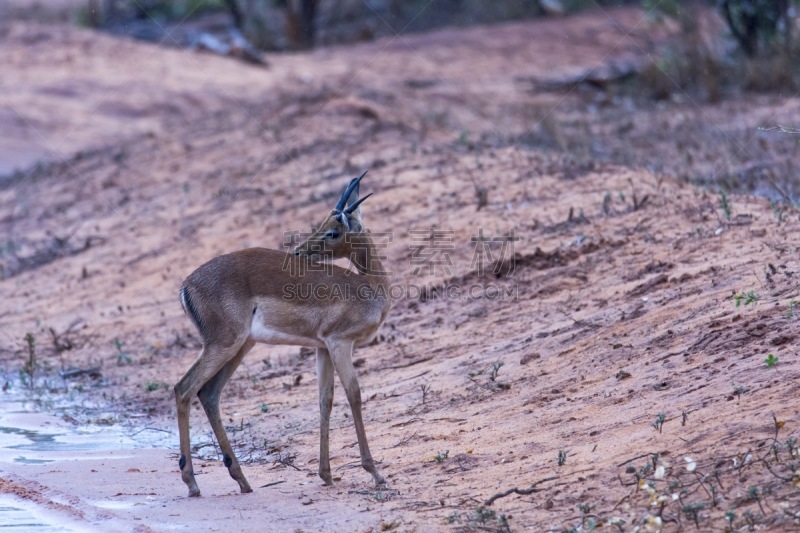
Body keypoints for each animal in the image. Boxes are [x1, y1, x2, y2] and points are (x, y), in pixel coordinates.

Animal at [176, 172, 390, 496]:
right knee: (184, 389)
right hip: (224, 344)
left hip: (241, 346)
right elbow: (354, 394)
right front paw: (375, 473)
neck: (368, 288)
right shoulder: (340, 343)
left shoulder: (322, 348)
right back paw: (192, 483)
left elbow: (325, 400)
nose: (299, 252)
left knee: (208, 394)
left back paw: (242, 480)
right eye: (324, 226)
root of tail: (187, 285)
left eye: (332, 231)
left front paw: (326, 474)